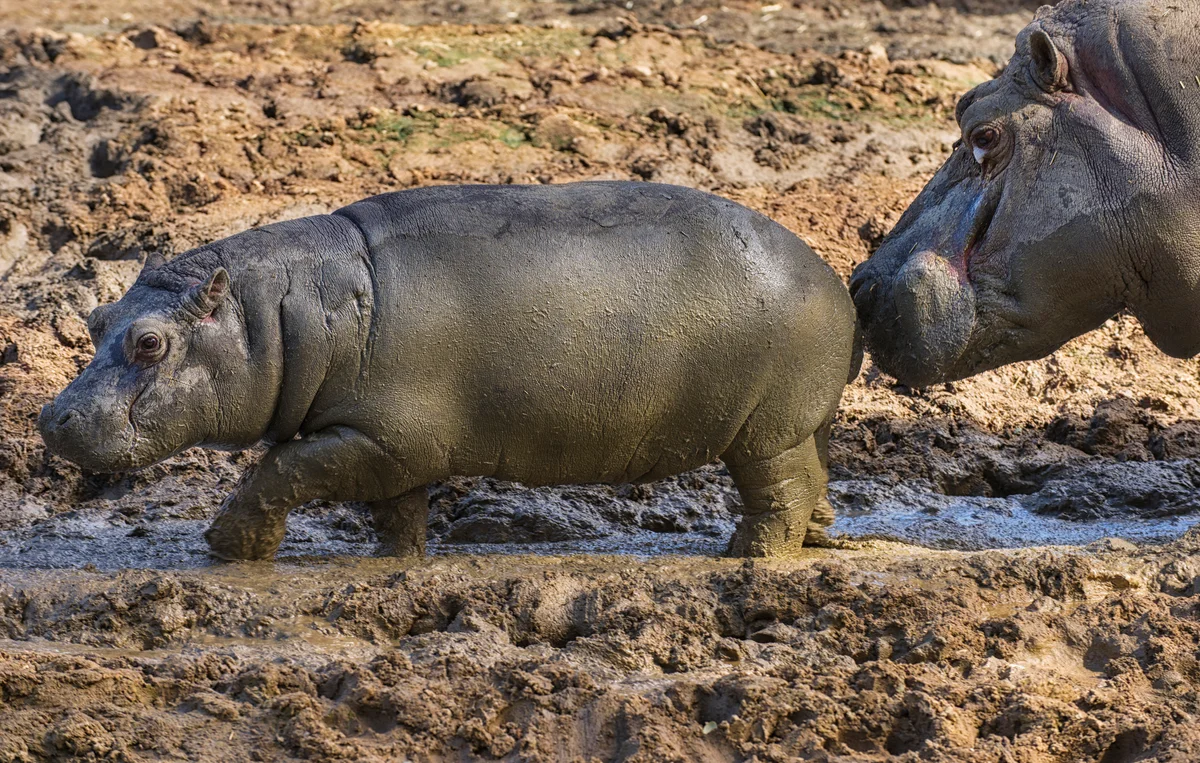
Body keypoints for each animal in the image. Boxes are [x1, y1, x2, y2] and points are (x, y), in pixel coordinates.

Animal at [38, 181, 859, 560]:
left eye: (150, 343)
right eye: (97, 317)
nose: (51, 416)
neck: (280, 312)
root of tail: (832, 277)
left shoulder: (383, 437)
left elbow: (280, 469)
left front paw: (226, 547)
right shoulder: (389, 446)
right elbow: (393, 507)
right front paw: (392, 559)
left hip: (767, 429)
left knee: (779, 490)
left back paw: (749, 554)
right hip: (802, 422)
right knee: (814, 478)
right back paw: (818, 537)